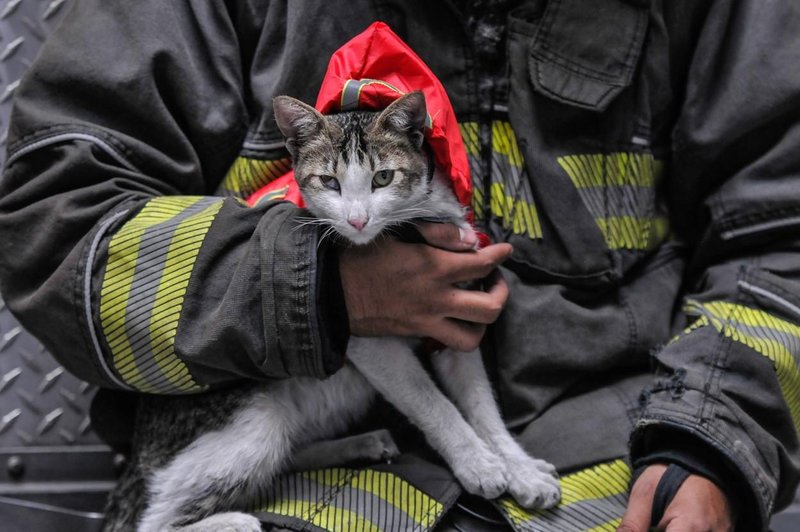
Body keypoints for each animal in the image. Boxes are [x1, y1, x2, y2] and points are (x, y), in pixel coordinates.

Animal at [103, 92, 560, 532]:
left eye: (383, 178)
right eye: (329, 182)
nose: (357, 220)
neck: (414, 223)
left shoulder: (456, 320)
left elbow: (483, 405)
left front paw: (518, 467)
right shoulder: (370, 338)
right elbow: (432, 402)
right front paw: (478, 463)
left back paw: (360, 445)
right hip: (250, 420)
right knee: (151, 522)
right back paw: (233, 521)